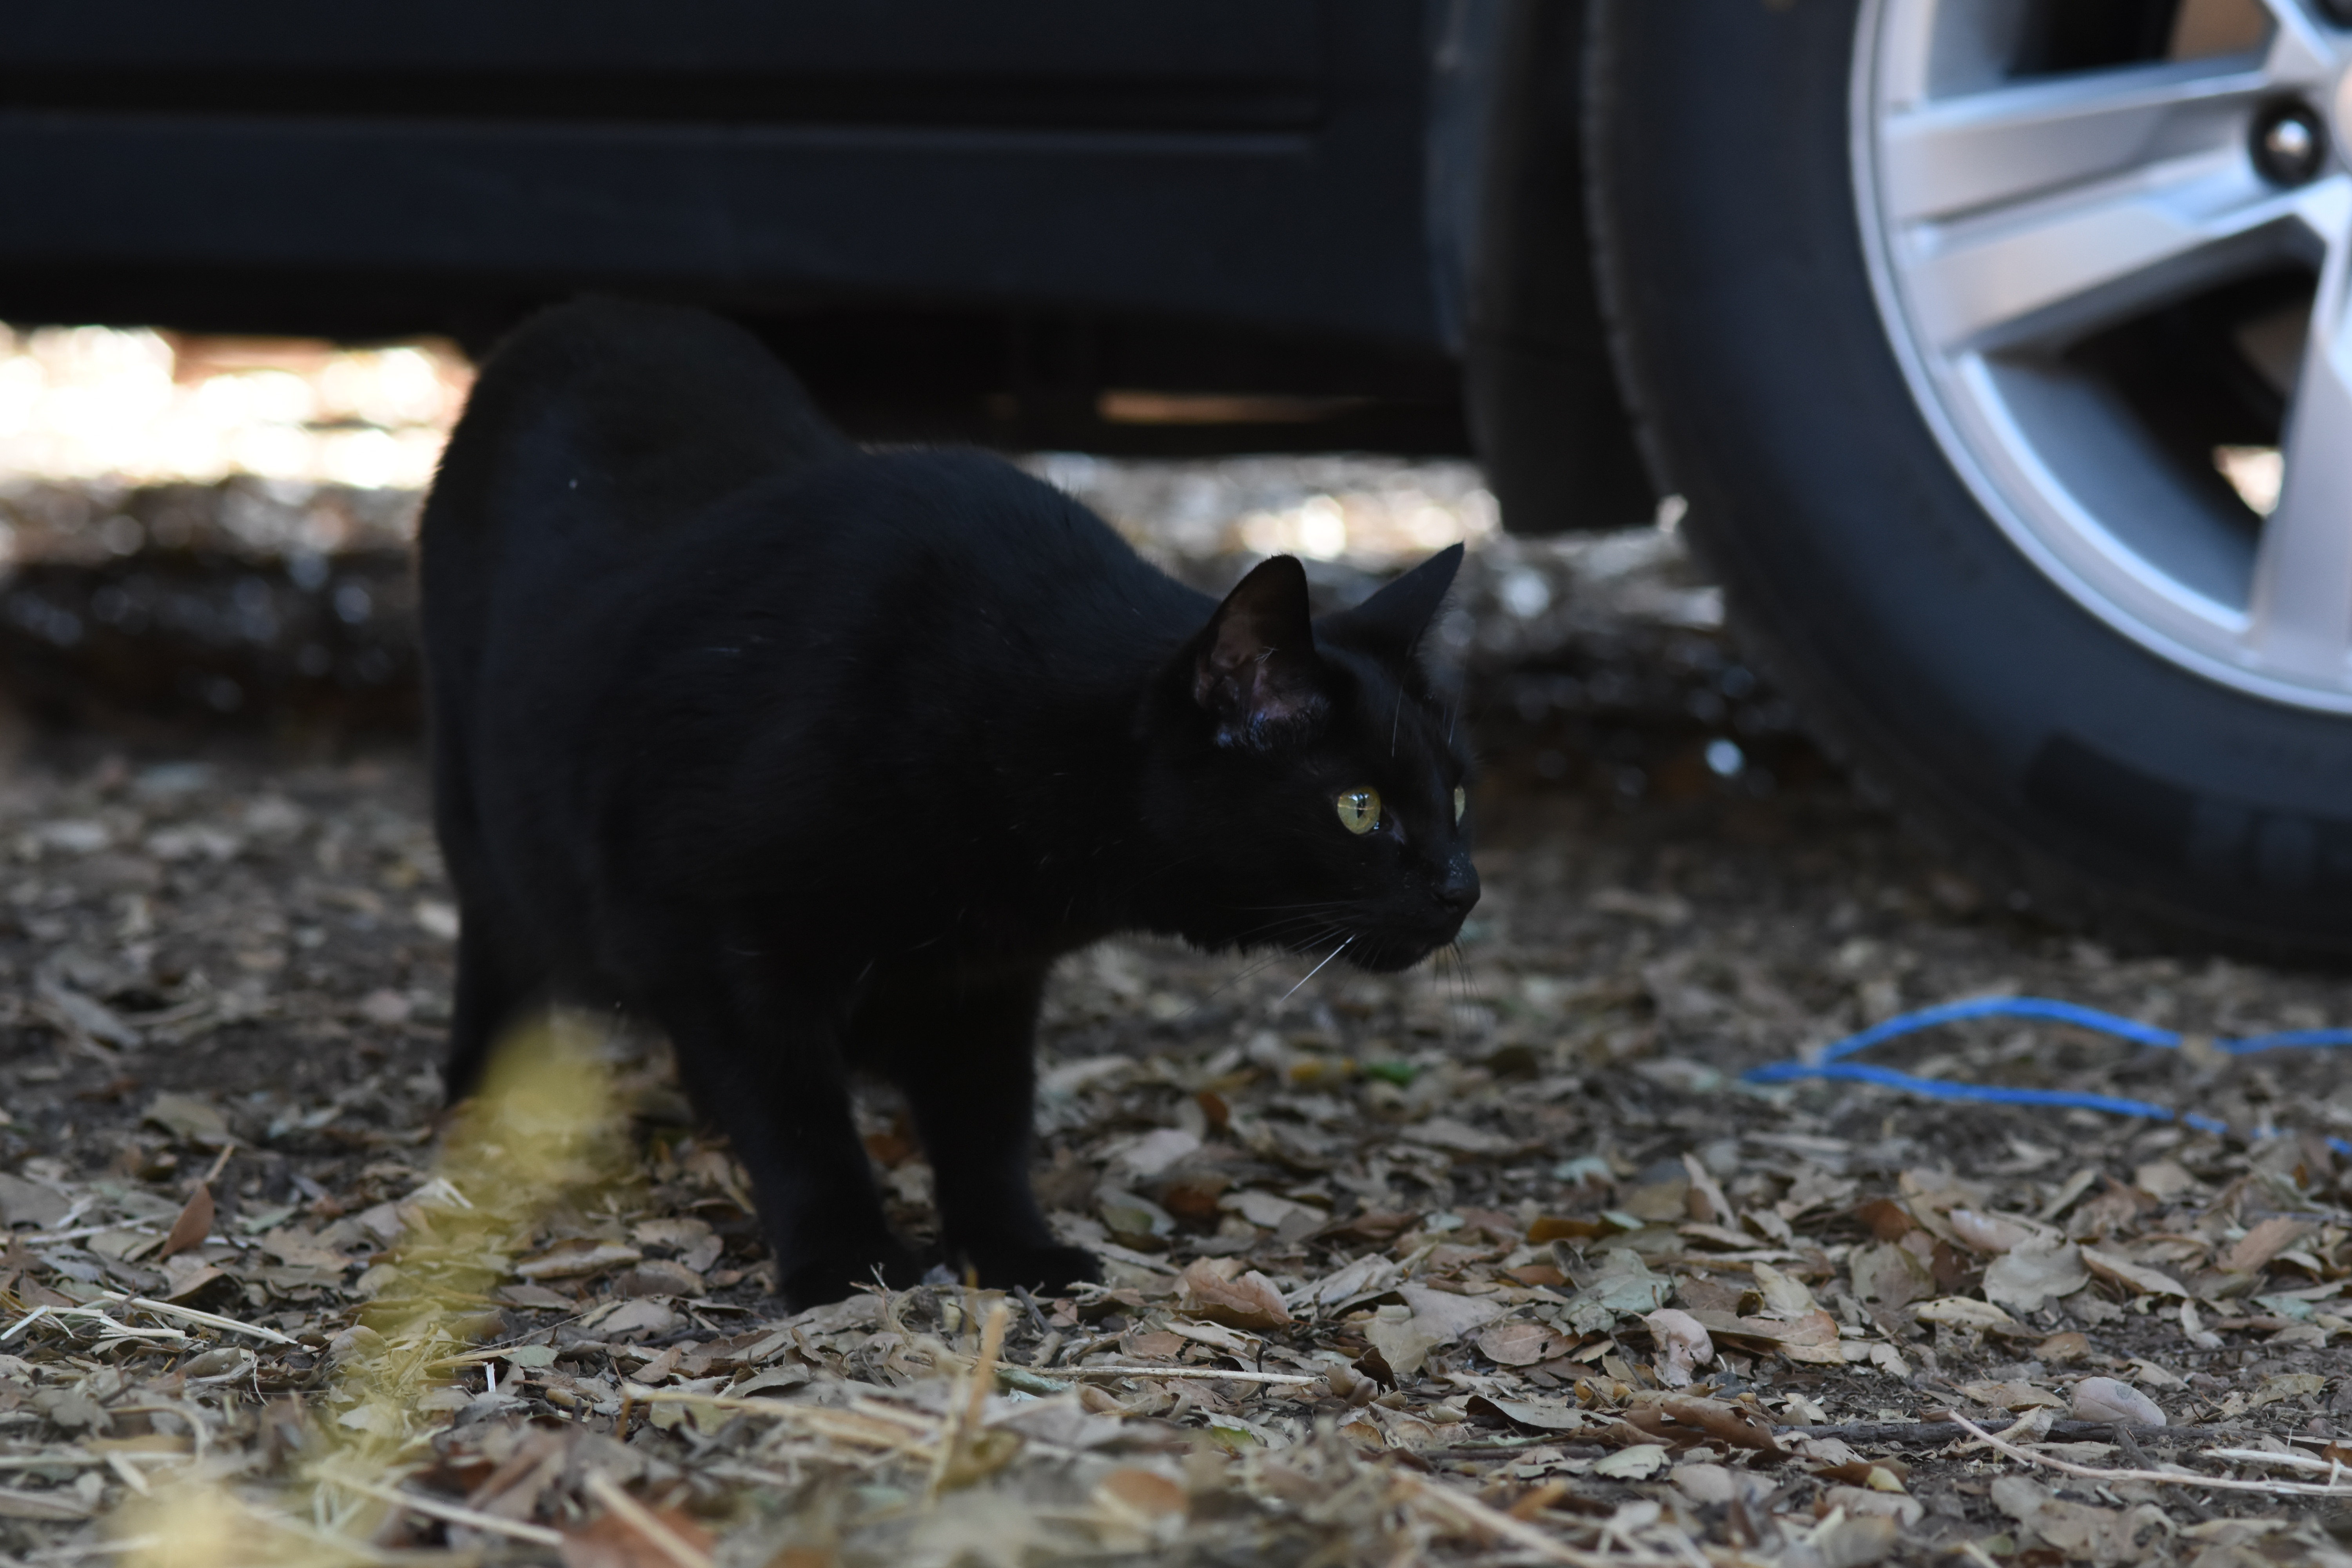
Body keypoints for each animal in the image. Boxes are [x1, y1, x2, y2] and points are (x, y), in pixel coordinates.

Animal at [418, 299, 1480, 1308]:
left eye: (1459, 792)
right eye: (1358, 806)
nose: (1463, 887)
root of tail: (592, 311)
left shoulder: (985, 980)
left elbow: (986, 1120)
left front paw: (1011, 1251)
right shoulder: (717, 939)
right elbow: (797, 1116)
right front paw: (843, 1259)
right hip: (481, 815)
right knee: (497, 938)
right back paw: (481, 1097)